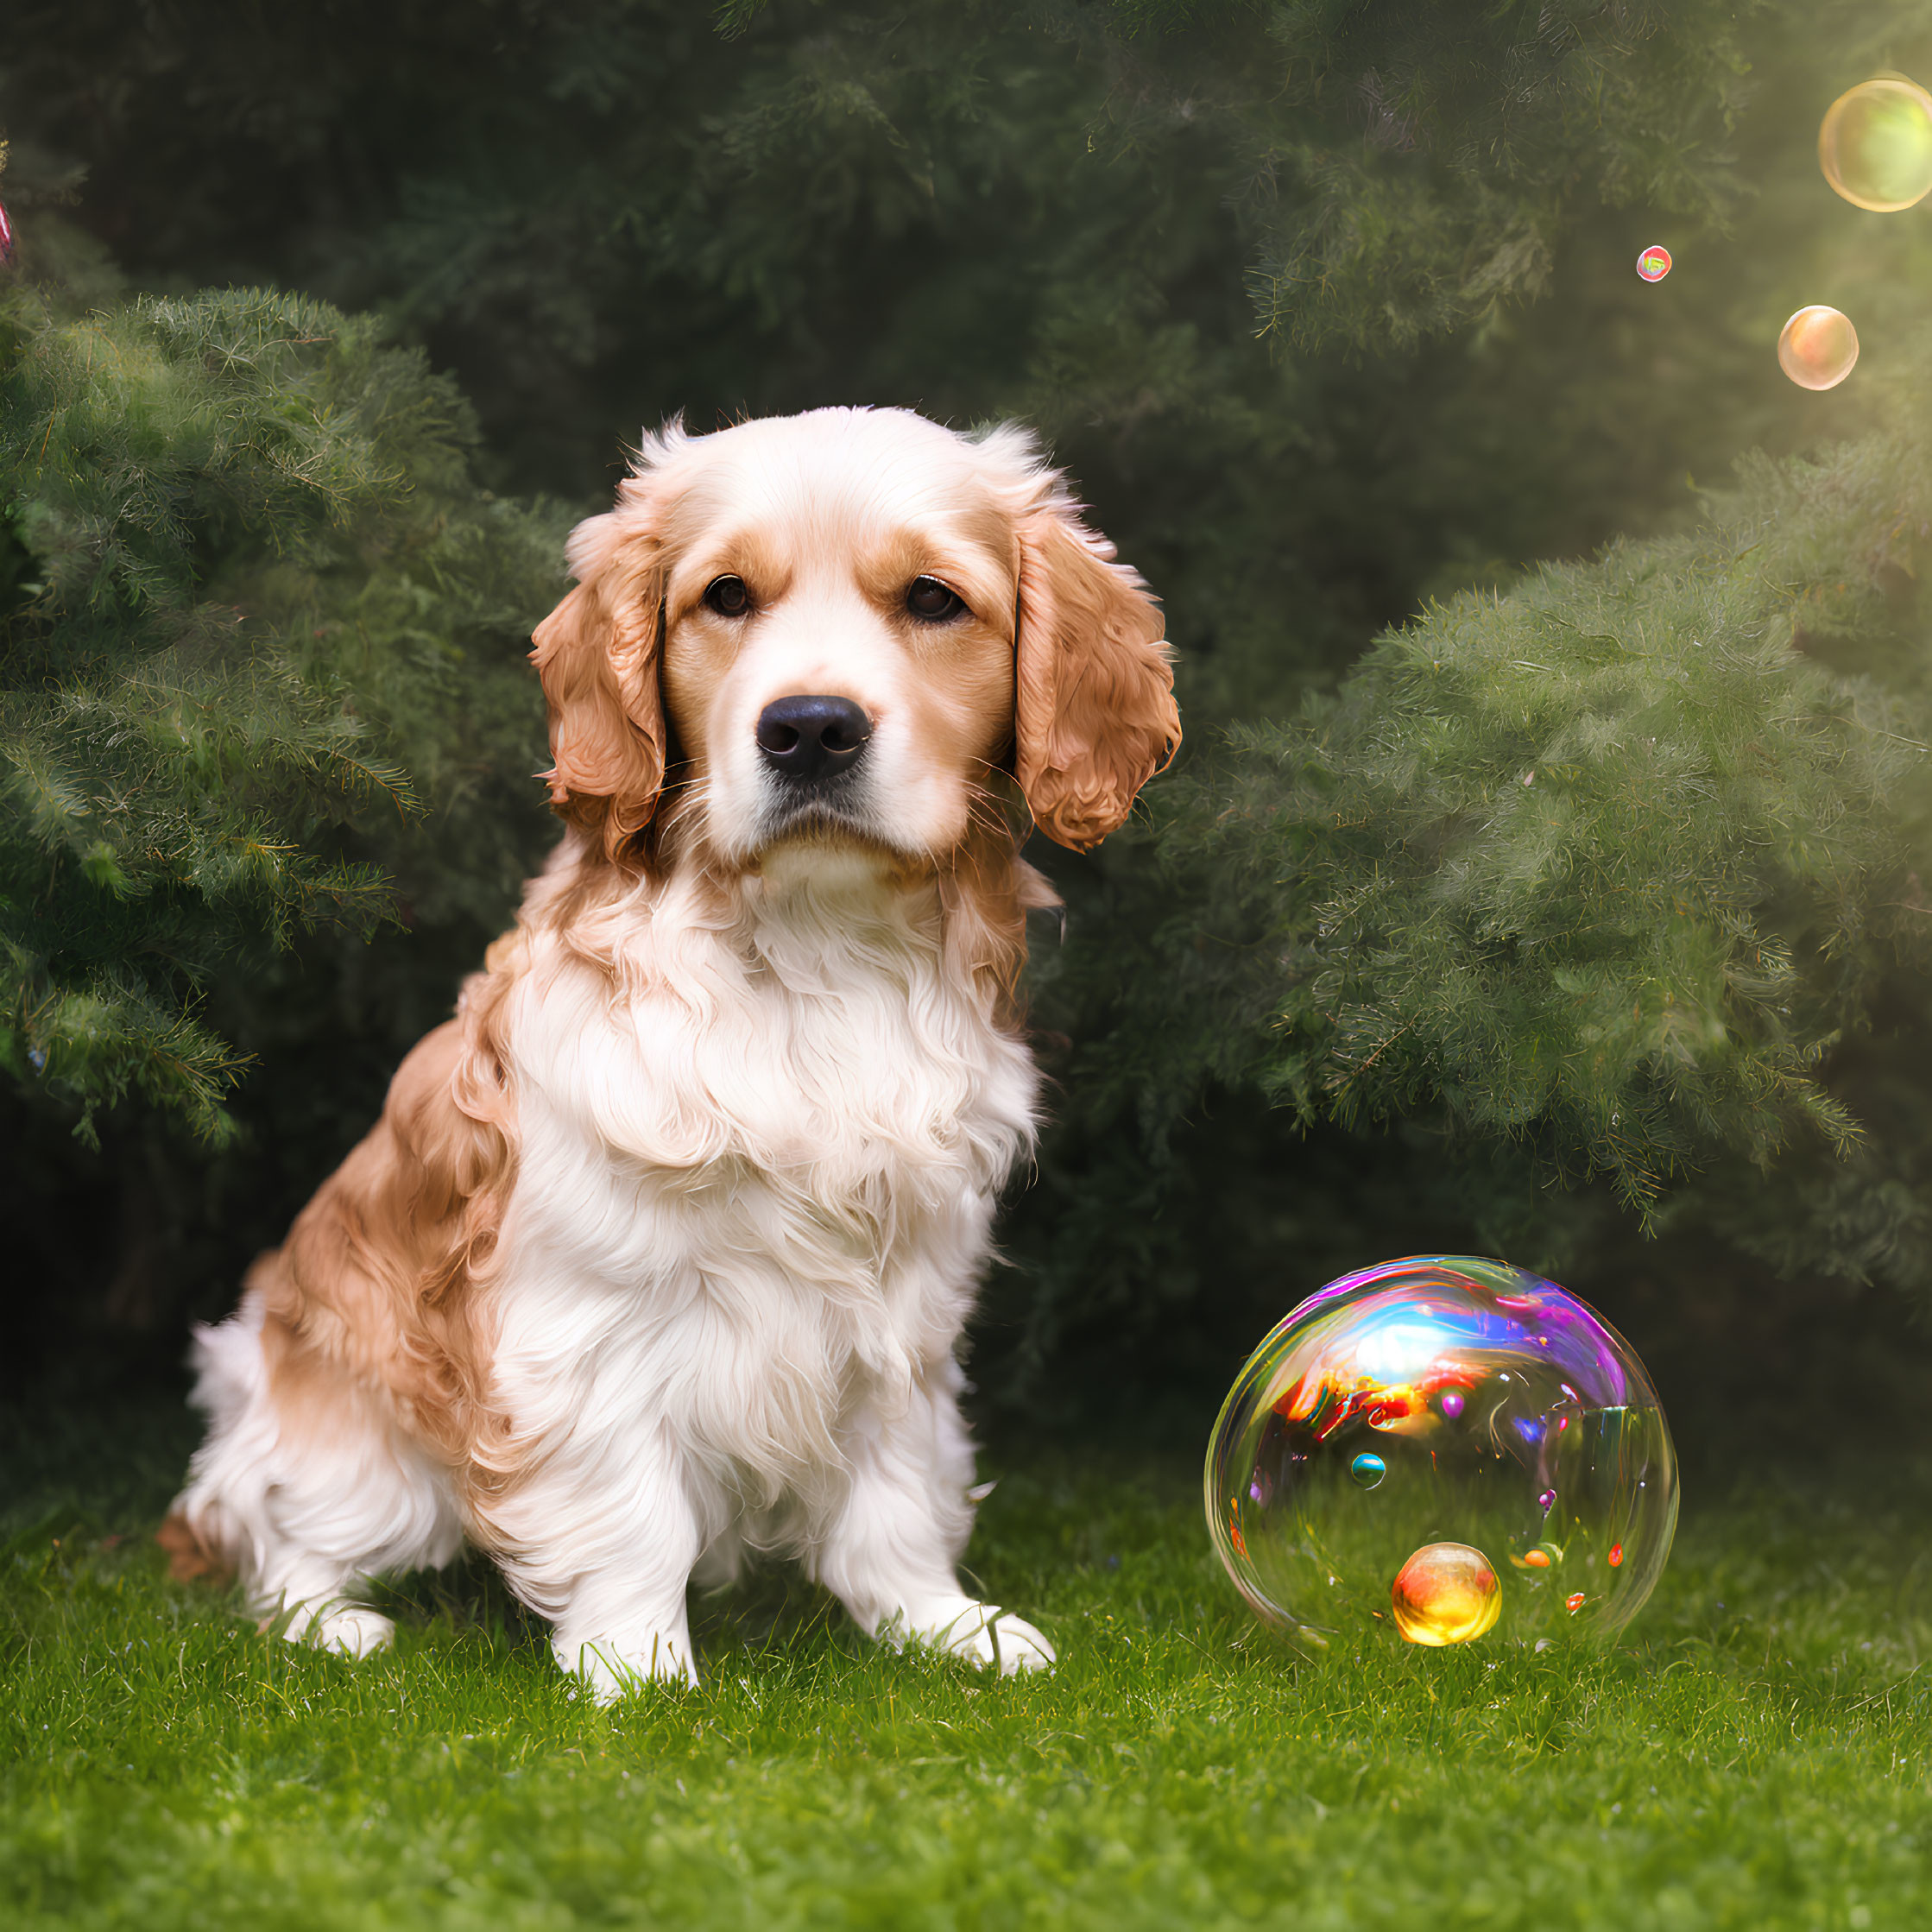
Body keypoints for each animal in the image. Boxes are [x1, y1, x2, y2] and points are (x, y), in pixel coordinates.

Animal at [161, 403, 1174, 1692]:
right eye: (725, 597)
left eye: (934, 600)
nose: (809, 730)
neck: (815, 951)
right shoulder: (584, 1317)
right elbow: (630, 1509)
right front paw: (639, 1668)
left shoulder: (903, 1299)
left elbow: (897, 1493)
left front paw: (943, 1625)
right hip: (361, 1441)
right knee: (270, 1527)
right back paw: (334, 1622)